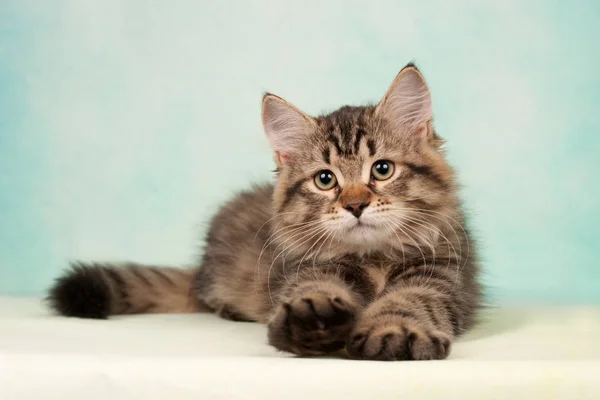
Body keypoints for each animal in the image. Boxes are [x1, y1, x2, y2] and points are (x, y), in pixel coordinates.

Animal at [48, 64, 482, 360]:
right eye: (325, 179)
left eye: (382, 169)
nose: (355, 204)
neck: (372, 259)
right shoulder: (307, 270)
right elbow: (312, 291)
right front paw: (314, 315)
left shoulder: (441, 276)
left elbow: (408, 300)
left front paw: (394, 330)